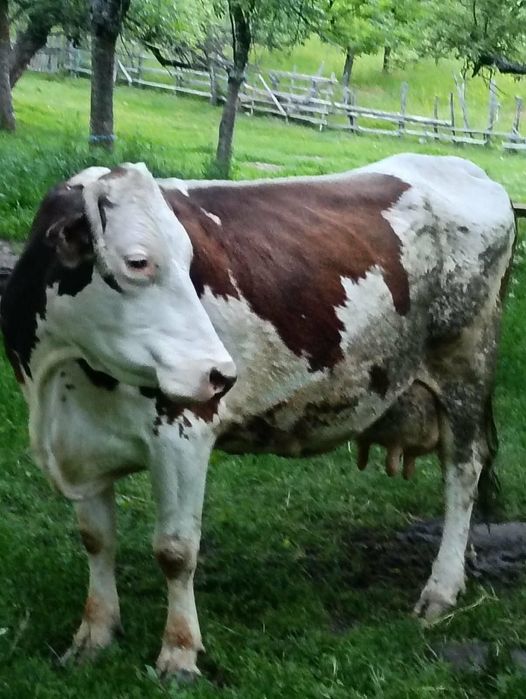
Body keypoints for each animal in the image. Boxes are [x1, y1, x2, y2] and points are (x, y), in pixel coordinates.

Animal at [0, 154, 515, 681]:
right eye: (137, 262)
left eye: (189, 261)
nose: (221, 373)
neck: (60, 376)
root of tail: (464, 167)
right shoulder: (80, 444)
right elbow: (96, 540)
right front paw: (93, 636)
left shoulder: (183, 432)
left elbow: (175, 550)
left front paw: (180, 654)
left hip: (465, 368)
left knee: (463, 473)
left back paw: (442, 587)